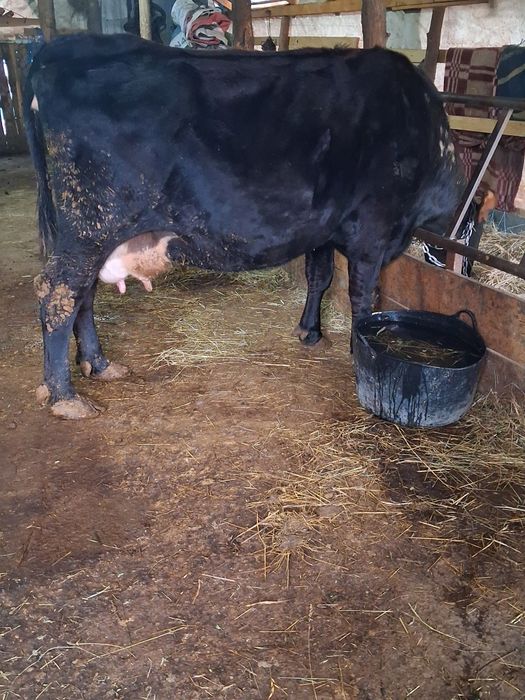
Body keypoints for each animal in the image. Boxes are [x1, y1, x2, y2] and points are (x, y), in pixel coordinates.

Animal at [24, 33, 465, 419]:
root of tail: (56, 48)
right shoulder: (373, 231)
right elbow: (363, 297)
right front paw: (359, 353)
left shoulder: (322, 228)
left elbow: (319, 276)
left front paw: (310, 331)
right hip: (91, 225)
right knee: (58, 294)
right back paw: (66, 397)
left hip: (89, 234)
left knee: (83, 295)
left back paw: (98, 364)